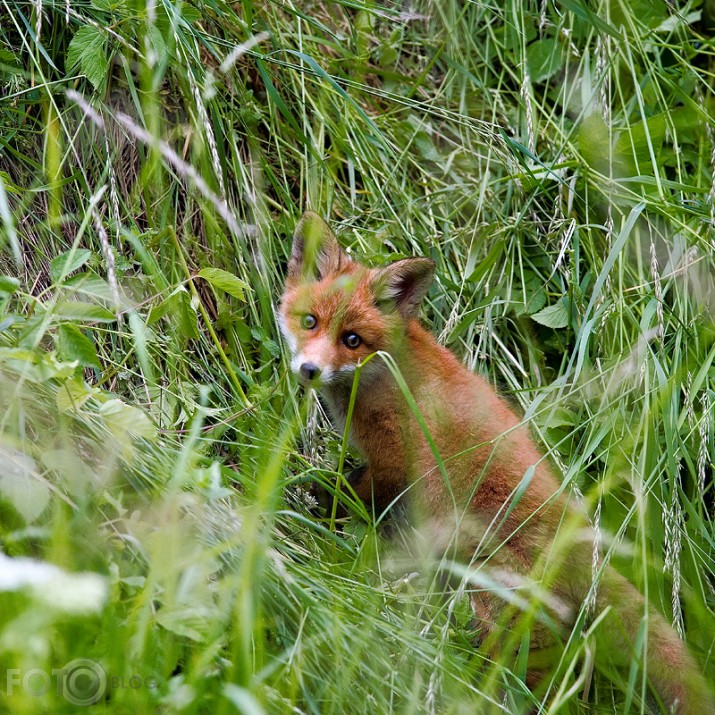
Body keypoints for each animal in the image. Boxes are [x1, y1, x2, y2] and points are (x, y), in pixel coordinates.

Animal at [280, 210, 715, 712]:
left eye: (352, 339)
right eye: (309, 321)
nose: (309, 371)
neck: (382, 377)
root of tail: (576, 536)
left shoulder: (391, 463)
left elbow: (346, 491)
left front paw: (311, 502)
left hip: (493, 605)